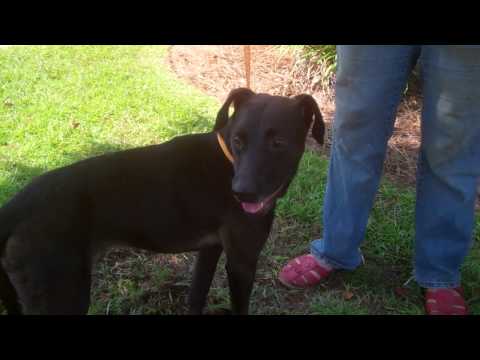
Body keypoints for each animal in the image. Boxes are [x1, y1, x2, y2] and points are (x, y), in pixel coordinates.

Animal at [0, 89, 324, 316]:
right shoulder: (242, 260)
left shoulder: (210, 249)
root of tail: (15, 208)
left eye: (278, 143)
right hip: (63, 293)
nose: (240, 193)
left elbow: (196, 296)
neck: (228, 160)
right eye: (239, 141)